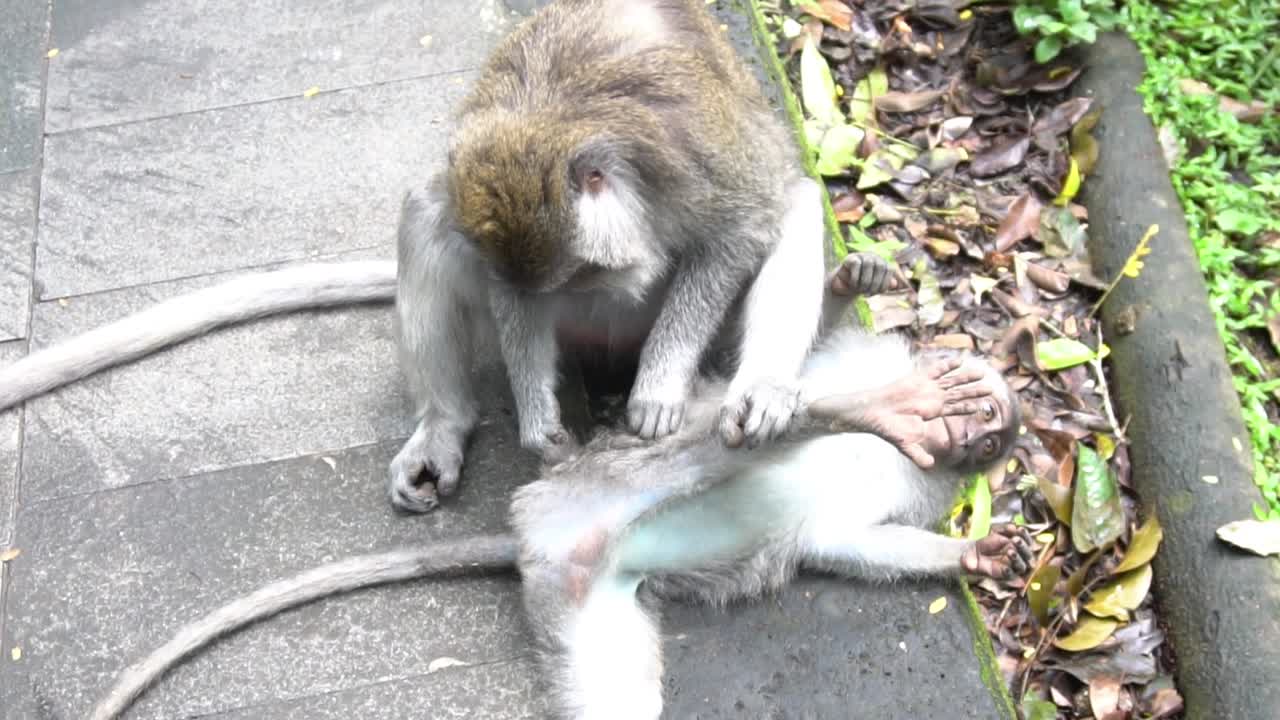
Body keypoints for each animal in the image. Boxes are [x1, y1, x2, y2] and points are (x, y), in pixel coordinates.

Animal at [86, 261, 1028, 720]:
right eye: (981, 412)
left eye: (988, 437)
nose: (966, 429)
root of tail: (537, 529)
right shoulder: (873, 354)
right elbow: (766, 371)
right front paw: (850, 296)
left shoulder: (917, 496)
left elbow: (853, 542)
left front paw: (969, 553)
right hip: (616, 466)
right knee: (728, 439)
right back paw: (872, 413)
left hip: (585, 591)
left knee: (620, 697)